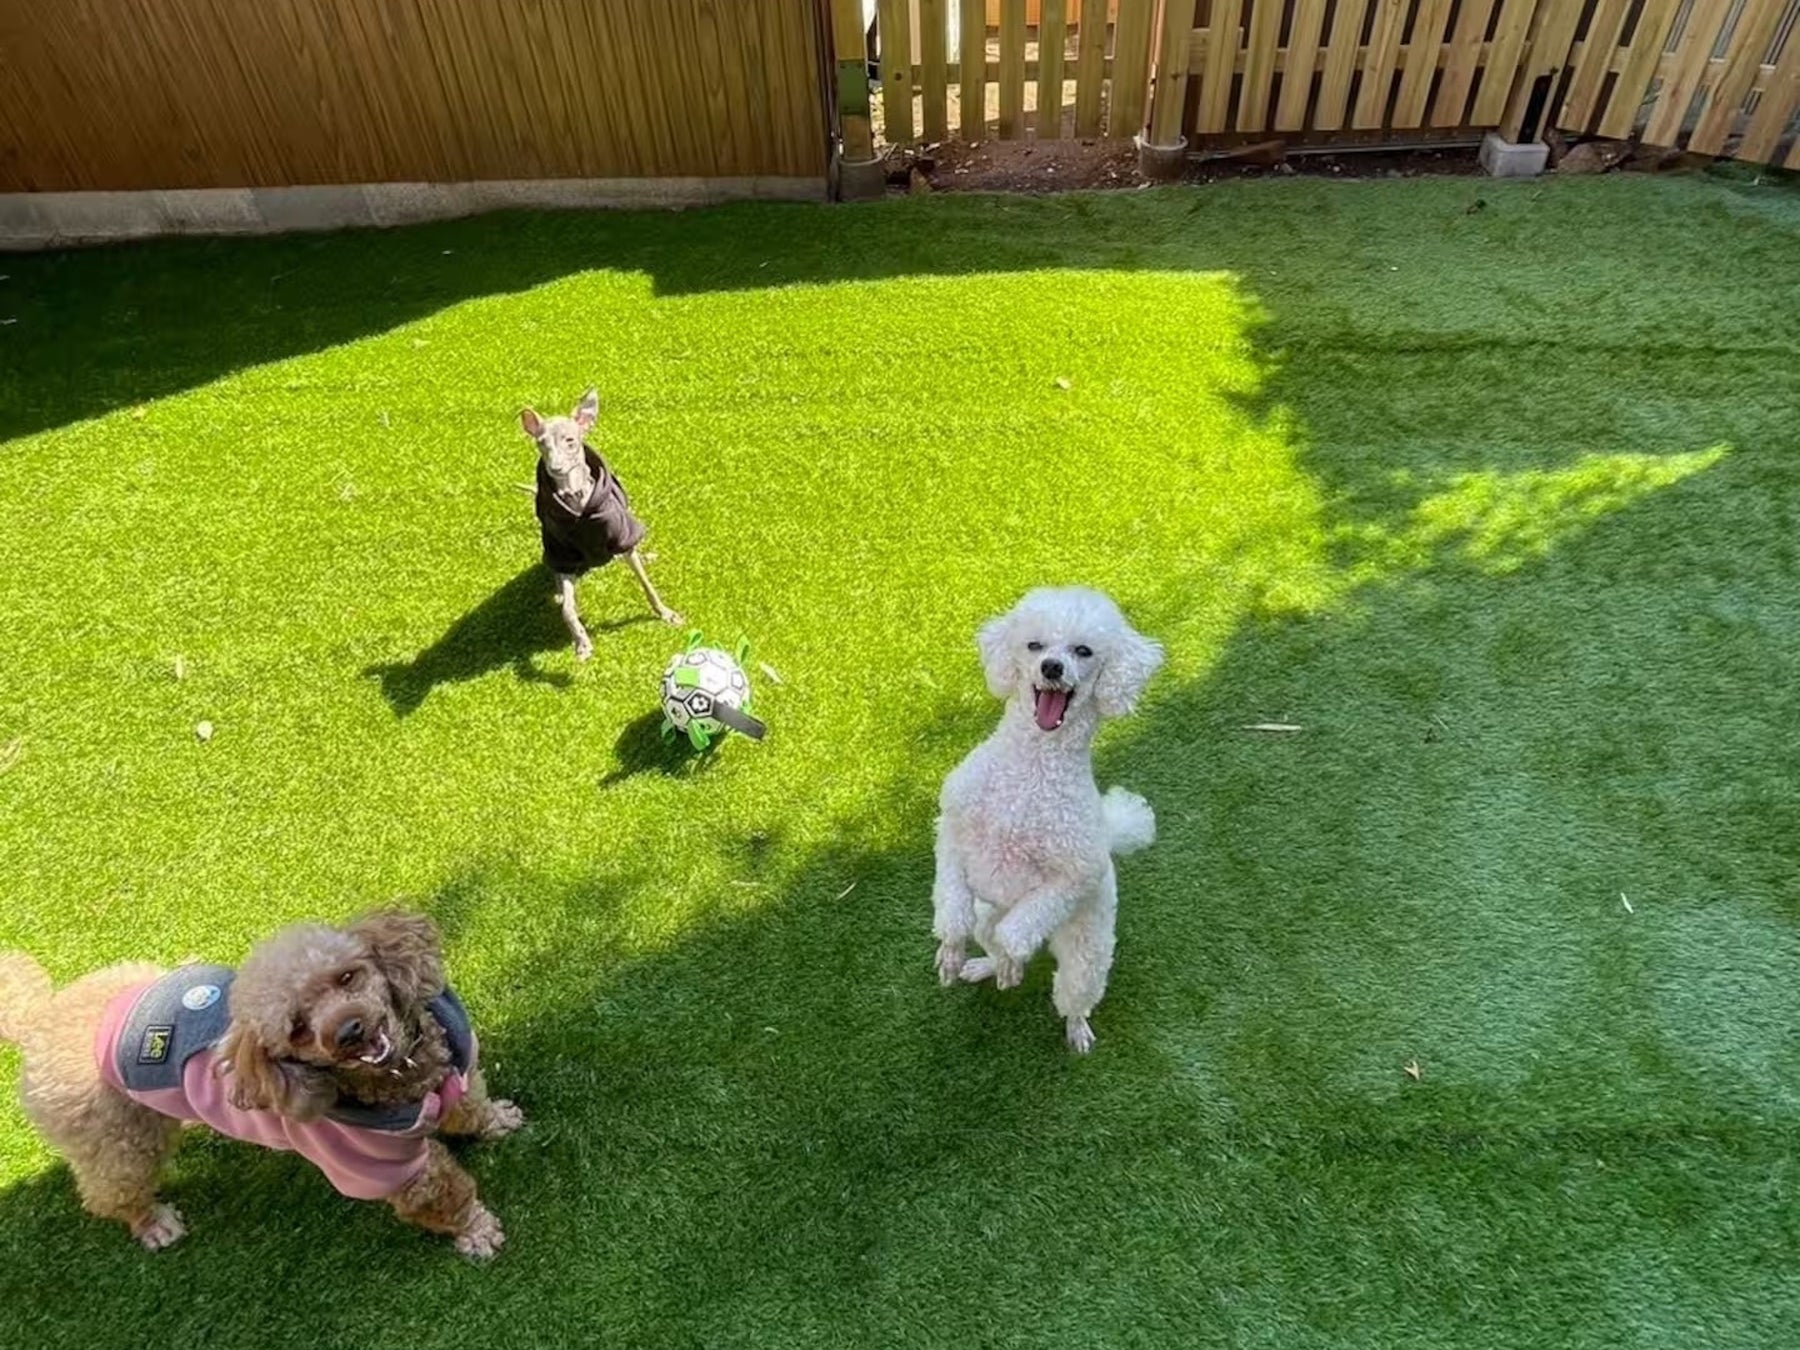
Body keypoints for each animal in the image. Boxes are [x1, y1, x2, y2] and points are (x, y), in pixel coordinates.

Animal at [0, 912, 521, 1258]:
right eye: (298, 1029)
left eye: (347, 976)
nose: (349, 1031)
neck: (405, 1073)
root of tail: (38, 1018)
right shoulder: (384, 1167)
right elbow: (445, 1196)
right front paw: (475, 1232)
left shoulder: (459, 1070)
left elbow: (470, 1104)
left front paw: (495, 1120)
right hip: (117, 1141)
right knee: (107, 1193)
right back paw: (152, 1223)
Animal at [520, 388, 682, 660]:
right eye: (541, 442)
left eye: (570, 440)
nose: (555, 468)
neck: (575, 498)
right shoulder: (561, 553)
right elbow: (568, 609)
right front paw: (581, 642)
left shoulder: (623, 537)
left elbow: (646, 583)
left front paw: (666, 613)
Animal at [931, 587, 1163, 1052]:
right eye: (1034, 645)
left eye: (1083, 650)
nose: (1052, 667)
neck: (1032, 768)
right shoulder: (951, 829)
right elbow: (951, 904)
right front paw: (951, 950)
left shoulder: (1072, 880)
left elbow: (1018, 934)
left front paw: (1011, 962)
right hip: (988, 914)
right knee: (988, 936)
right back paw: (983, 966)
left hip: (1086, 951)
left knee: (1074, 993)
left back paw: (1075, 1027)